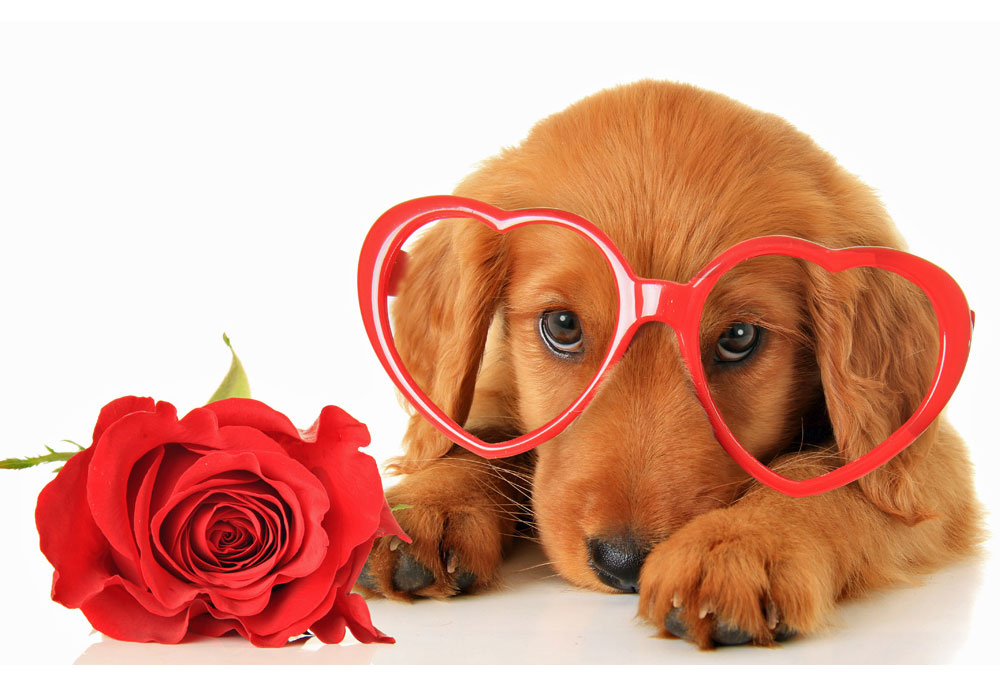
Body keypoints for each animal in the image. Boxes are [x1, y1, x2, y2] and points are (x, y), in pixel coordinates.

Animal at [356, 82, 980, 652]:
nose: (623, 563)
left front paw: (739, 546)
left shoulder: (928, 465)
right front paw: (423, 505)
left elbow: (832, 476)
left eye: (738, 337)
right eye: (562, 325)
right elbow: (480, 438)